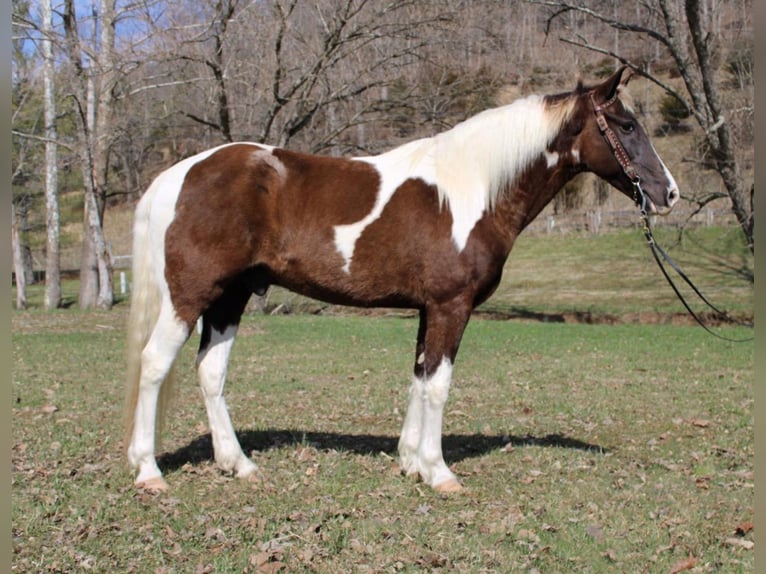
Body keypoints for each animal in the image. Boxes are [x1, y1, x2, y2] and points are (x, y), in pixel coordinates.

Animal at [124, 68, 680, 496]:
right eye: (626, 125)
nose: (669, 193)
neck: (472, 188)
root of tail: (177, 175)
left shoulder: (427, 309)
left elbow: (419, 376)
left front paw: (411, 462)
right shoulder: (451, 306)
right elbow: (439, 385)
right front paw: (439, 473)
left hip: (229, 297)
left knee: (210, 372)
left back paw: (237, 464)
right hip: (189, 297)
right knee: (154, 364)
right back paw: (149, 471)